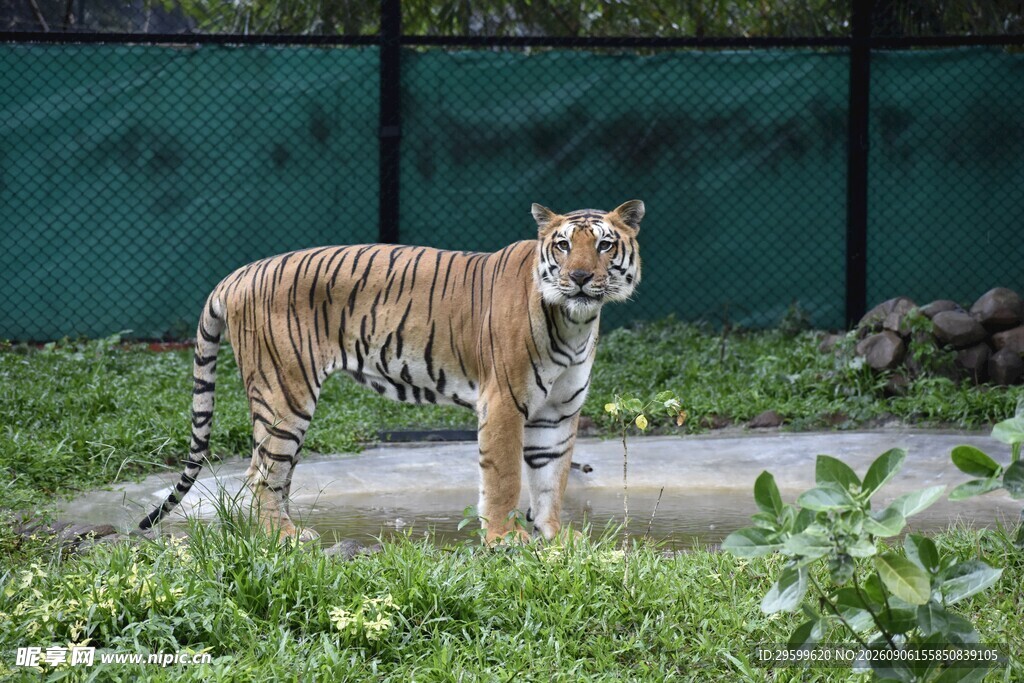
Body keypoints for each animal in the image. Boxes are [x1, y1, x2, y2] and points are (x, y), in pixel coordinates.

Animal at [139, 200, 644, 543]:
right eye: (563, 245)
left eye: (604, 244)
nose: (579, 277)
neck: (575, 321)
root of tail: (239, 273)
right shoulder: (504, 401)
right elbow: (504, 478)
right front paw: (504, 539)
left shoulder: (558, 412)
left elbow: (550, 478)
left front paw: (554, 536)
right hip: (284, 393)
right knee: (261, 473)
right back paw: (284, 539)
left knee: (273, 474)